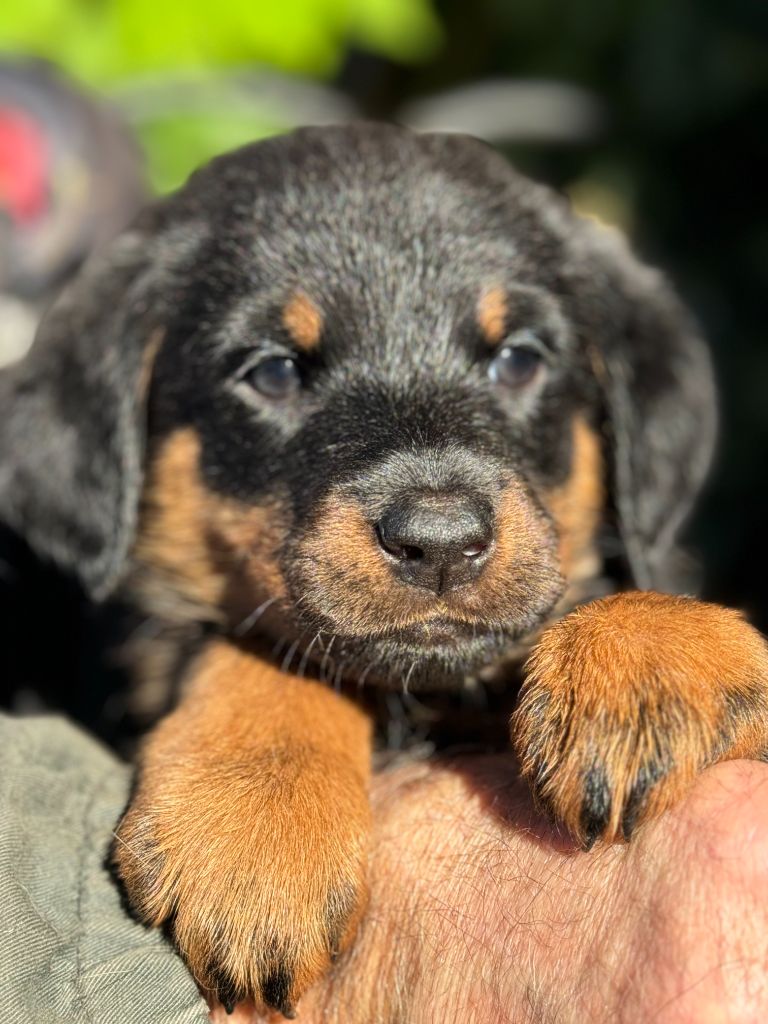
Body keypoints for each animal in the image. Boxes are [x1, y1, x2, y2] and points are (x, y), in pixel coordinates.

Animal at [1, 123, 768, 1011]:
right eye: (273, 371)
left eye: (518, 359)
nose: (439, 540)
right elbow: (276, 651)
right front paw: (256, 824)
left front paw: (653, 661)